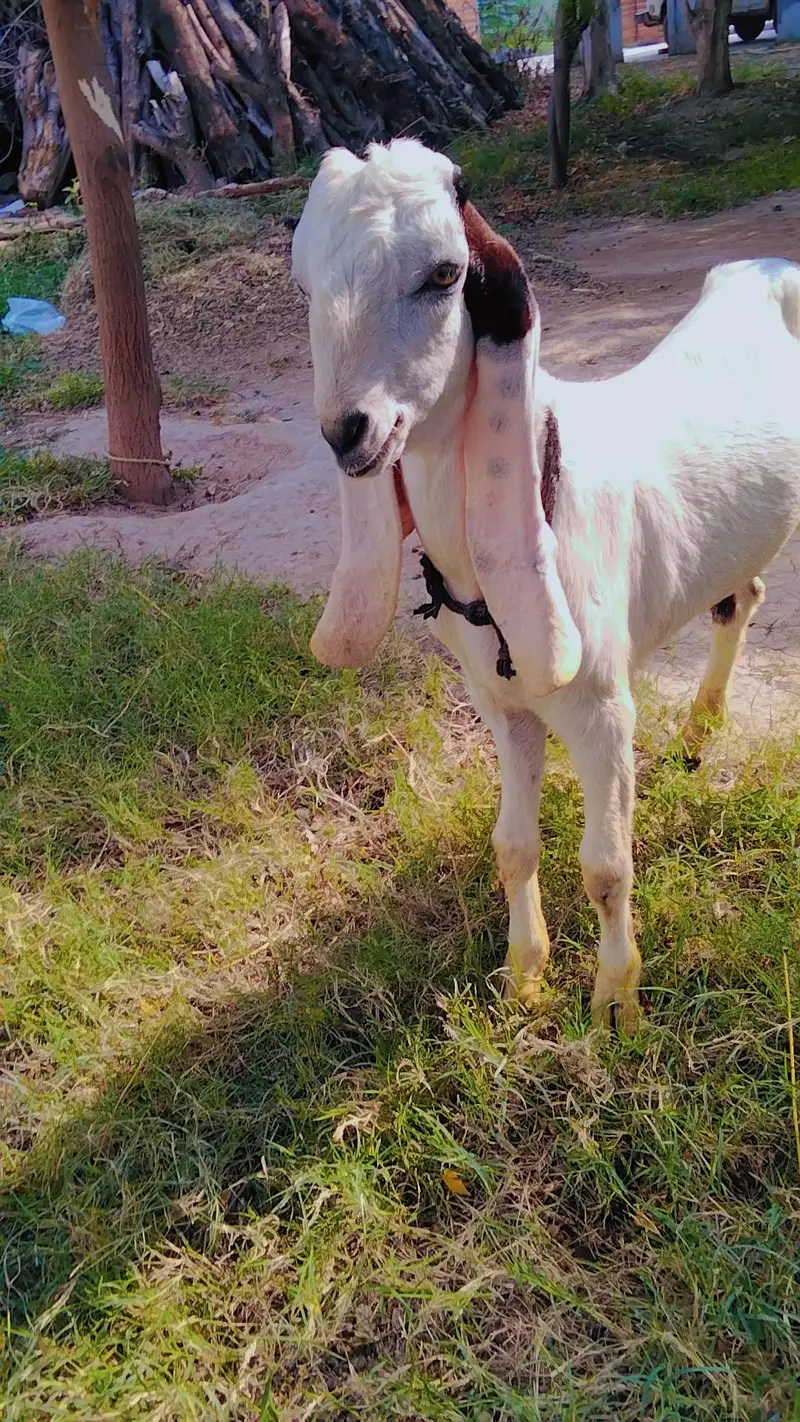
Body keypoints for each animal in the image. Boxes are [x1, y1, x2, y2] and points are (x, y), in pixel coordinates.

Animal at [291, 137, 800, 1029]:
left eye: (445, 274)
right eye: (305, 284)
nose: (350, 432)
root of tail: (760, 269)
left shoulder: (602, 711)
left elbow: (607, 865)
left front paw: (616, 1004)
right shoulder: (504, 705)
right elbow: (514, 844)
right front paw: (525, 976)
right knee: (743, 597)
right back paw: (699, 733)